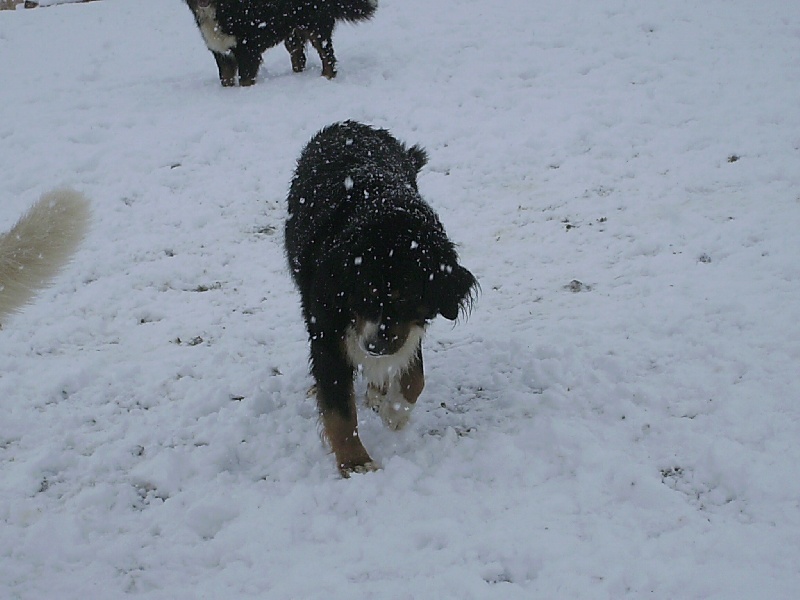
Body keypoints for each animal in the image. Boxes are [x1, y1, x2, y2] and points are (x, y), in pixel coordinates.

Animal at [184, 0, 378, 86]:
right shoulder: (221, 52)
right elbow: (226, 78)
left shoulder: (248, 50)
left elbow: (245, 79)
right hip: (293, 34)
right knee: (299, 57)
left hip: (316, 27)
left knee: (328, 57)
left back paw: (325, 78)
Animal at [284, 120, 478, 478]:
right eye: (364, 295)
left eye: (407, 298)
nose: (374, 345)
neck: (384, 211)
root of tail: (350, 124)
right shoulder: (327, 328)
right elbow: (339, 409)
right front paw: (355, 461)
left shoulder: (409, 327)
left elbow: (415, 376)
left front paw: (396, 413)